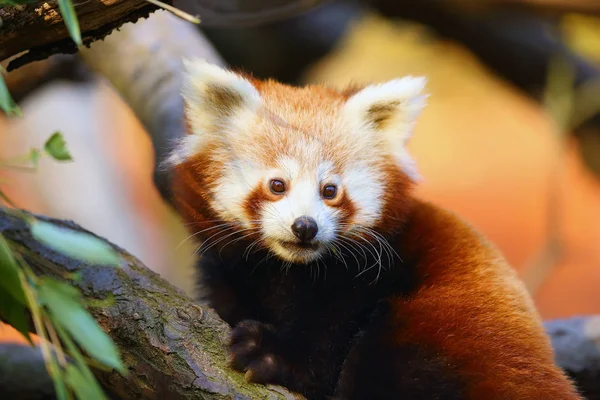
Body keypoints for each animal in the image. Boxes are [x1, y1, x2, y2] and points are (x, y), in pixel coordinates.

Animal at [168, 59, 580, 400]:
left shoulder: (363, 278)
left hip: (447, 329)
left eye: (330, 190)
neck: (286, 270)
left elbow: (324, 346)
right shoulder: (231, 270)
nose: (305, 226)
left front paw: (268, 353)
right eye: (277, 185)